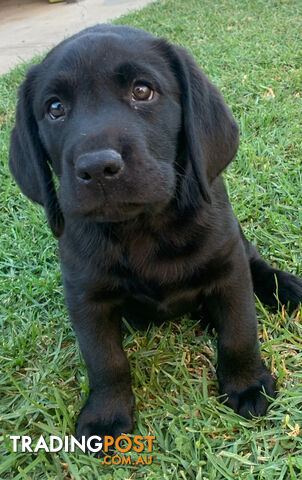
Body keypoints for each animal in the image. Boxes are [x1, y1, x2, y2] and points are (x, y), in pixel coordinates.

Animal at [8, 25, 300, 438]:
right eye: (54, 109)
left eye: (142, 90)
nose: (97, 167)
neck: (142, 227)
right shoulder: (85, 298)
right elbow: (105, 361)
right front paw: (106, 415)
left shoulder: (228, 269)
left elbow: (239, 332)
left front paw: (246, 384)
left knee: (254, 259)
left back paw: (285, 287)